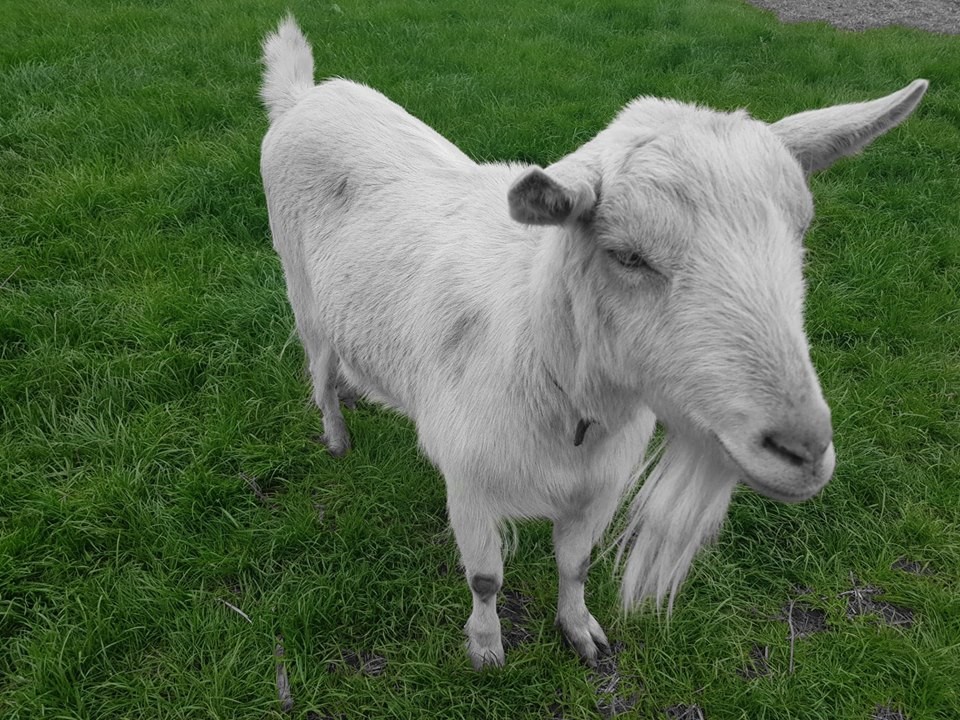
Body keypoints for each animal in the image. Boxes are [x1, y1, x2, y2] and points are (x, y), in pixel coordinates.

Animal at [259, 15, 926, 668]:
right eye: (627, 255)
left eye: (801, 232)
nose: (804, 450)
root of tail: (302, 95)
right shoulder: (469, 482)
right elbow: (485, 579)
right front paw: (486, 648)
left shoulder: (599, 489)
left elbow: (575, 565)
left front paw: (580, 631)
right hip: (301, 290)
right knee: (318, 369)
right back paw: (337, 436)